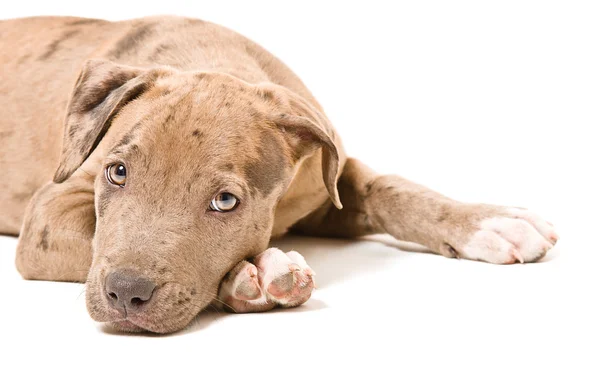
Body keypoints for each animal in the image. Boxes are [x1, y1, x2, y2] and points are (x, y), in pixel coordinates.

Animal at [2, 16, 560, 334]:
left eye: (226, 202)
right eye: (117, 172)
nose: (125, 295)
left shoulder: (328, 181)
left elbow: (391, 188)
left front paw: (486, 221)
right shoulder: (49, 213)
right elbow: (94, 237)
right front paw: (255, 277)